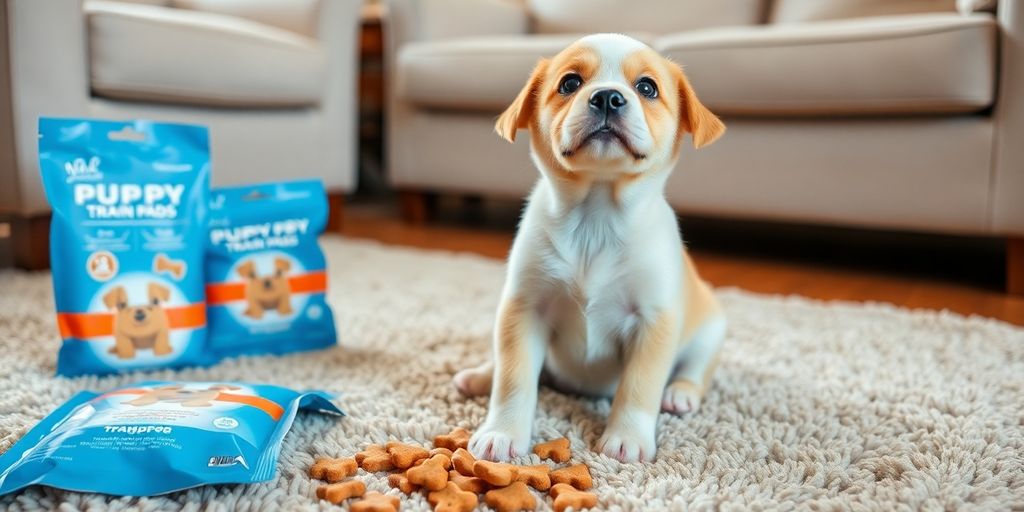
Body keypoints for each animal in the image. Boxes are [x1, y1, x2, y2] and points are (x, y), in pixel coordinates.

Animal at [456, 33, 729, 464]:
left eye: (647, 88)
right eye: (570, 83)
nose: (607, 98)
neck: (596, 218)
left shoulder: (653, 320)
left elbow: (639, 387)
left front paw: (627, 438)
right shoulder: (524, 308)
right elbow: (514, 380)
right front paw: (502, 432)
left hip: (710, 332)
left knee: (694, 370)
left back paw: (680, 394)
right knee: (501, 365)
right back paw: (480, 375)